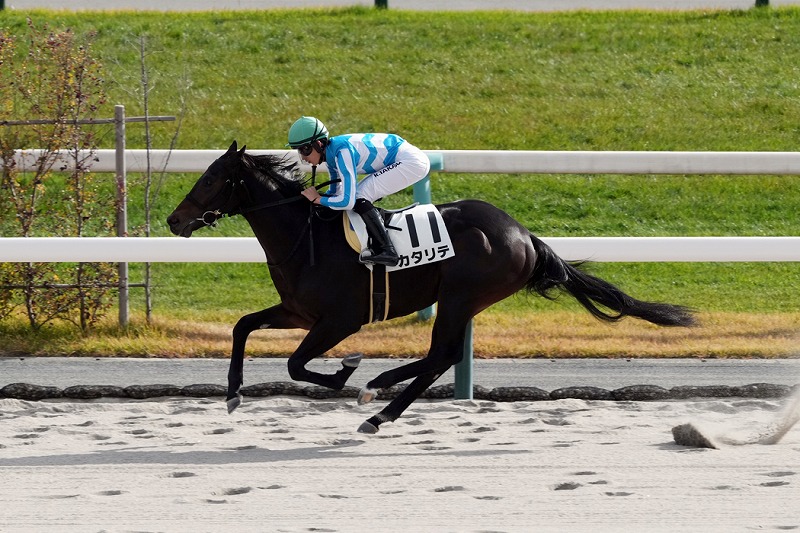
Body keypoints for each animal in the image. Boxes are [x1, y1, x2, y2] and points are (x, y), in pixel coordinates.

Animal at [167, 141, 696, 434]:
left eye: (211, 178)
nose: (174, 220)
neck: (307, 236)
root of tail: (524, 234)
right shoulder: (298, 311)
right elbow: (242, 326)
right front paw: (233, 394)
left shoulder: (340, 319)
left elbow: (298, 365)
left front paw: (348, 371)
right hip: (460, 300)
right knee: (445, 355)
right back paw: (379, 396)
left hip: (461, 295)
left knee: (442, 355)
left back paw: (375, 401)